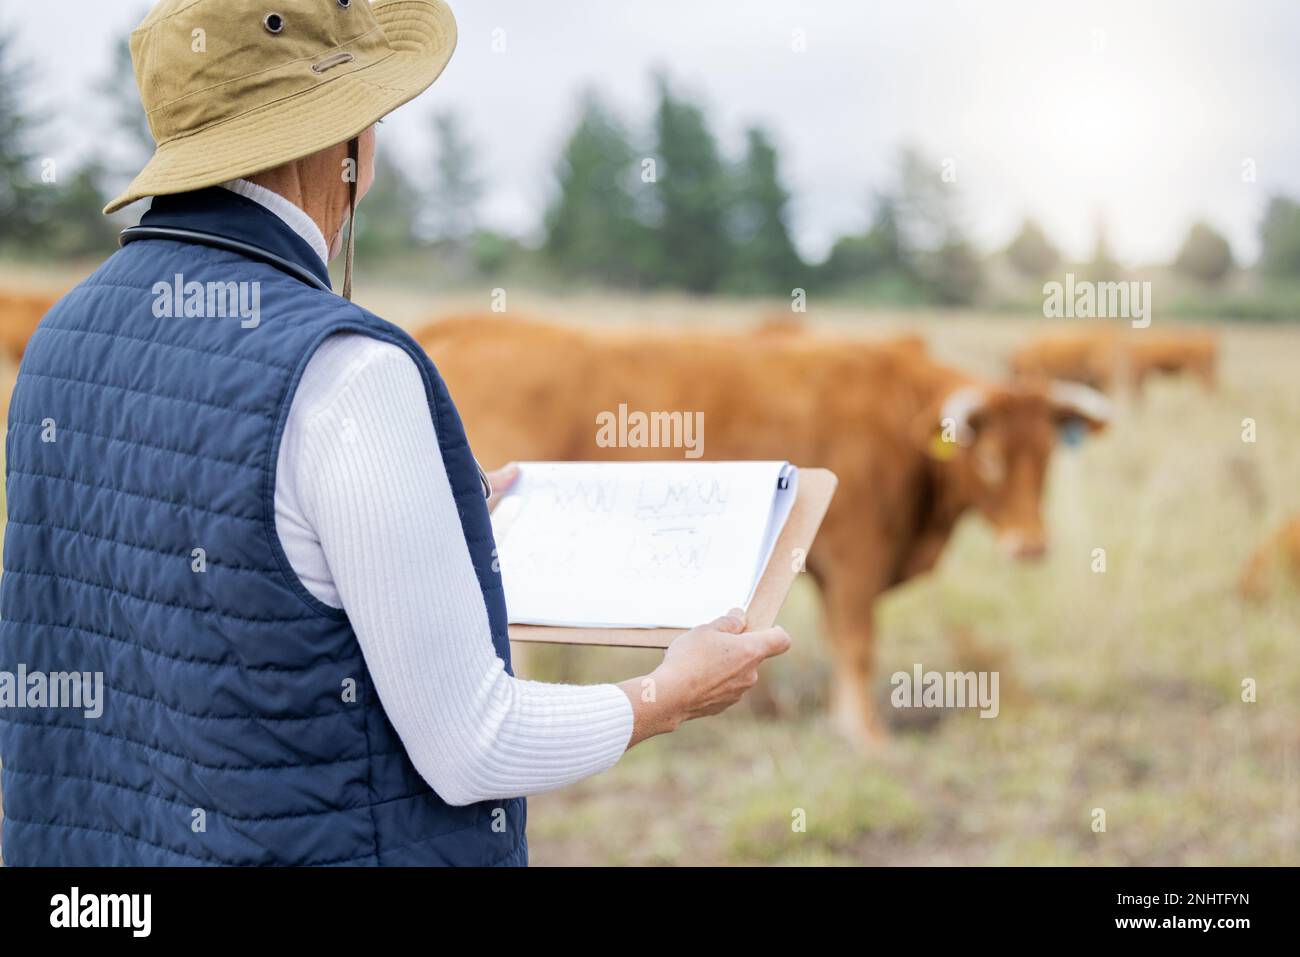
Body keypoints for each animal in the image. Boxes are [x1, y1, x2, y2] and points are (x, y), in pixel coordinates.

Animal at [414, 314, 1111, 747]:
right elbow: (857, 645)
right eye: (988, 458)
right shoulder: (857, 557)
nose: (1030, 545)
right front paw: (865, 736)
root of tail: (468, 322)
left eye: (1047, 455)